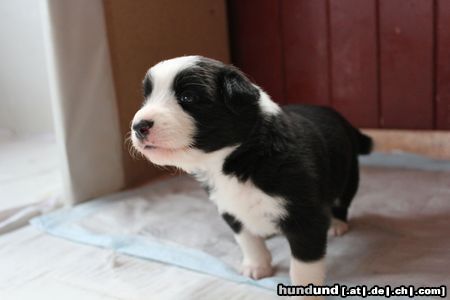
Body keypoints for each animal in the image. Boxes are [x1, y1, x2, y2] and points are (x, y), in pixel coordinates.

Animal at [130, 56, 372, 296]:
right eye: (147, 97)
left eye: (187, 97)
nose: (138, 126)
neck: (235, 158)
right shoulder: (229, 207)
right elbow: (247, 239)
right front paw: (257, 266)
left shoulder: (305, 214)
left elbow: (305, 263)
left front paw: (305, 293)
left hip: (348, 174)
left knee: (342, 200)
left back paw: (337, 224)